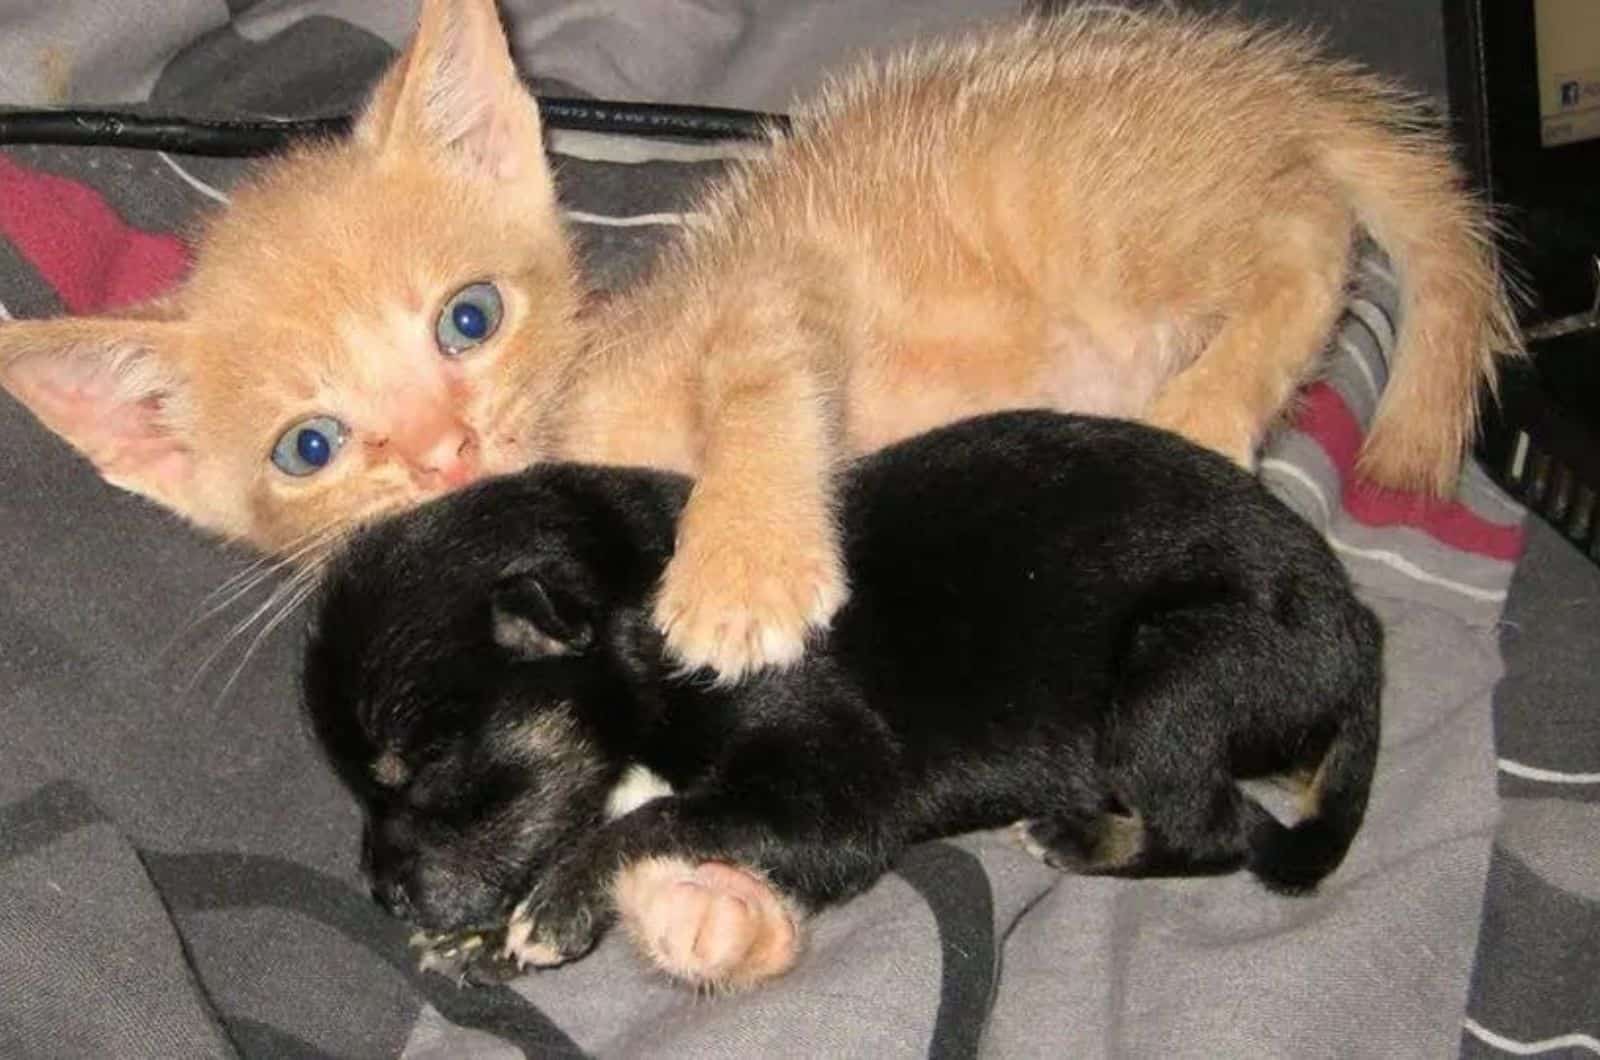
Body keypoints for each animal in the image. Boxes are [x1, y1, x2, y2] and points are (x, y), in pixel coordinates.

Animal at [0, 0, 1510, 682]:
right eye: (308, 447)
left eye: (468, 318)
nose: (445, 452)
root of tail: (1261, 79)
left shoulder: (772, 287)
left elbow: (768, 389)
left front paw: (742, 567)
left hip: (1115, 214)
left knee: (1315, 233)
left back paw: (1204, 404)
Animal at [305, 409, 1382, 992]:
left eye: (427, 773)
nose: (379, 893)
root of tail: (1357, 631)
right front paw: (483, 938)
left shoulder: (838, 796)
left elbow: (660, 818)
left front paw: (556, 901)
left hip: (1174, 673)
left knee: (1219, 830)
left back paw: (1083, 838)